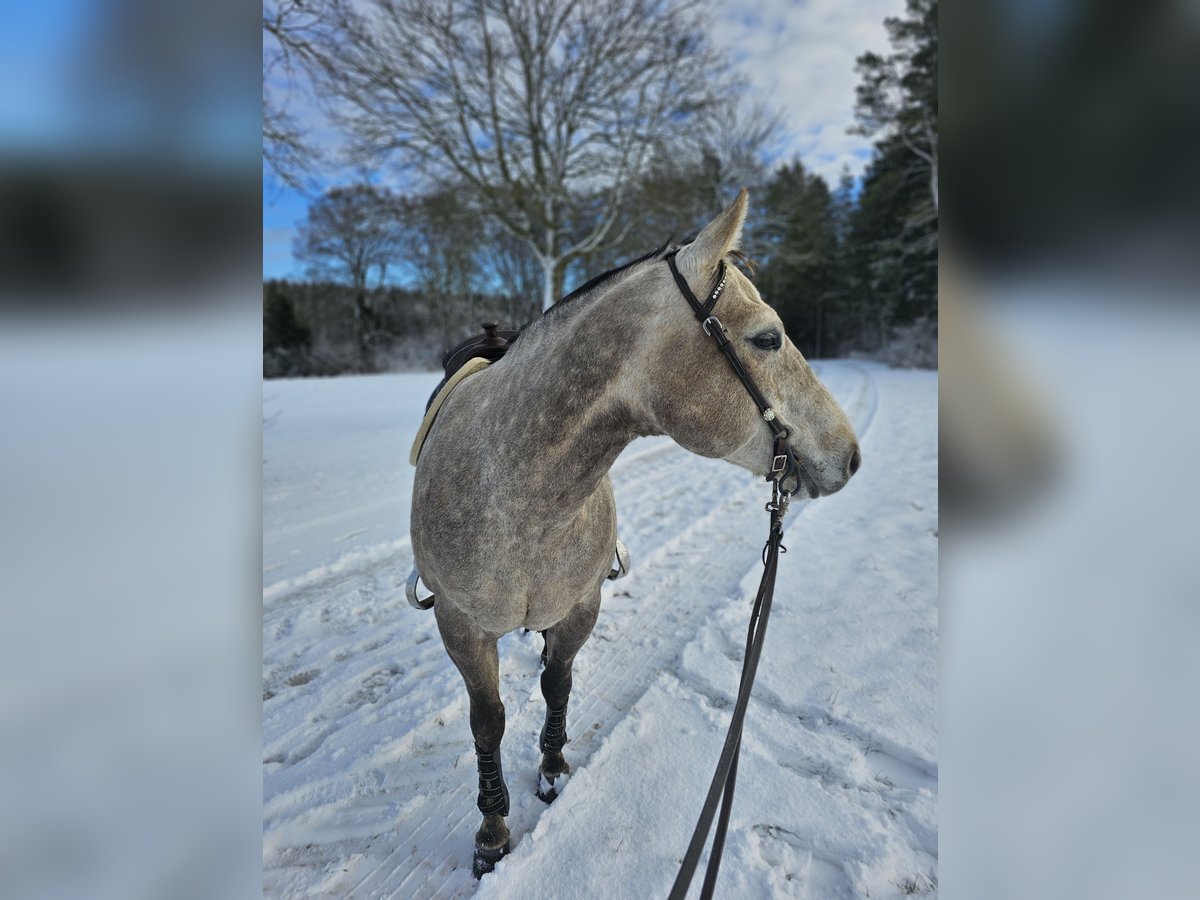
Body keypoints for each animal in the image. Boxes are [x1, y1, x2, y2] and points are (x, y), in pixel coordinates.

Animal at [408, 188, 859, 873]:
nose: (850, 456)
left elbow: (558, 683)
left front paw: (553, 770)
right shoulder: (461, 626)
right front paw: (492, 832)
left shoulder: (581, 607)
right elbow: (488, 721)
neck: (517, 494)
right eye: (768, 337)